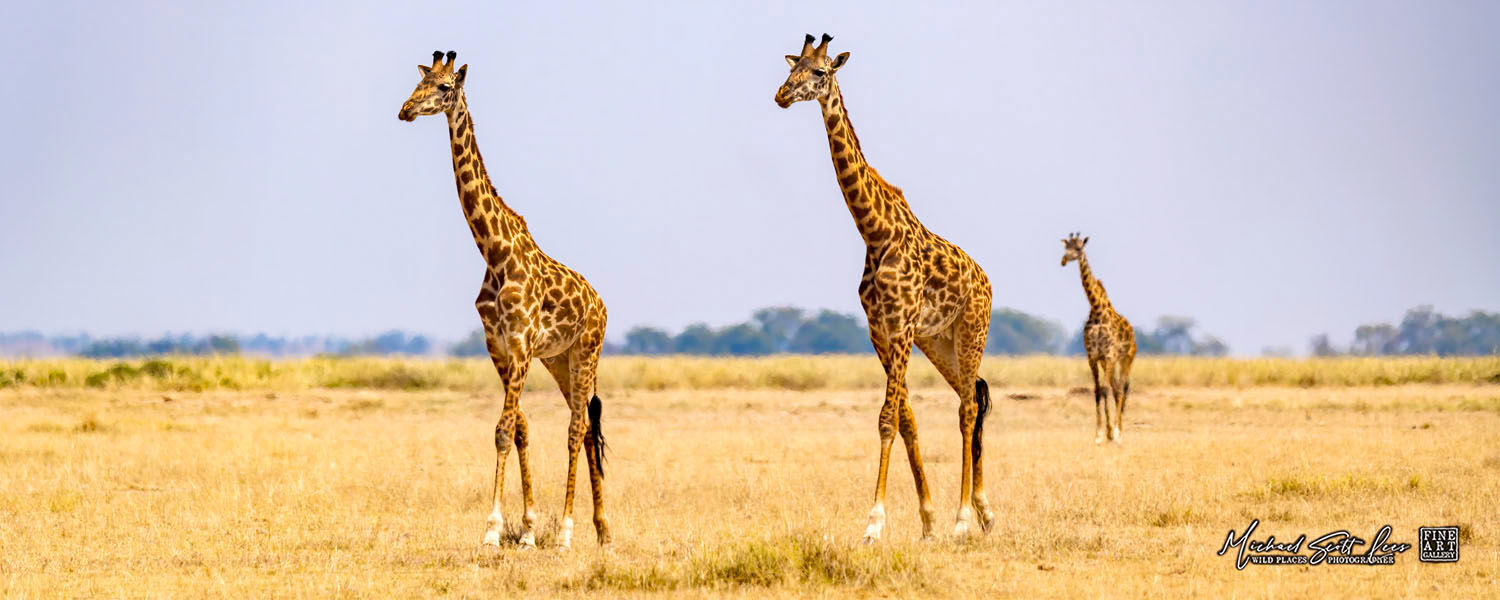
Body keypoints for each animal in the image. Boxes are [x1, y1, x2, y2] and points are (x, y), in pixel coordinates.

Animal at [399, 51, 610, 549]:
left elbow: (503, 428)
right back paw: (601, 530)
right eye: (418, 82)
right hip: (561, 359)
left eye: (444, 88)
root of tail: (602, 303)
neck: (493, 251)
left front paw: (494, 529)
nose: (405, 110)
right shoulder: (497, 344)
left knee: (576, 428)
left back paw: (568, 532)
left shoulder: (522, 343)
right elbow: (520, 429)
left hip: (587, 351)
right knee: (585, 424)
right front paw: (527, 527)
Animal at [775, 34, 996, 543]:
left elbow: (885, 418)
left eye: (820, 72)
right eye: (793, 68)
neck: (874, 233)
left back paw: (963, 519)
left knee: (967, 408)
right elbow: (906, 420)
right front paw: (927, 520)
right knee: (972, 395)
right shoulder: (880, 330)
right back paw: (983, 512)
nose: (781, 95)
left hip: (971, 330)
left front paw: (874, 523)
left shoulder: (902, 326)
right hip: (941, 342)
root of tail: (986, 279)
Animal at [1060, 233, 1136, 444]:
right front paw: (1100, 434)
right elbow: (1097, 391)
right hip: (1108, 361)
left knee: (1121, 389)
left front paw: (1111, 432)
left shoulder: (1109, 355)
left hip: (1126, 359)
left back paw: (1119, 432)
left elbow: (1105, 390)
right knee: (1115, 388)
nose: (1064, 260)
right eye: (1066, 248)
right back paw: (1114, 431)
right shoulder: (1093, 356)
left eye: (1079, 248)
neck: (1096, 310)